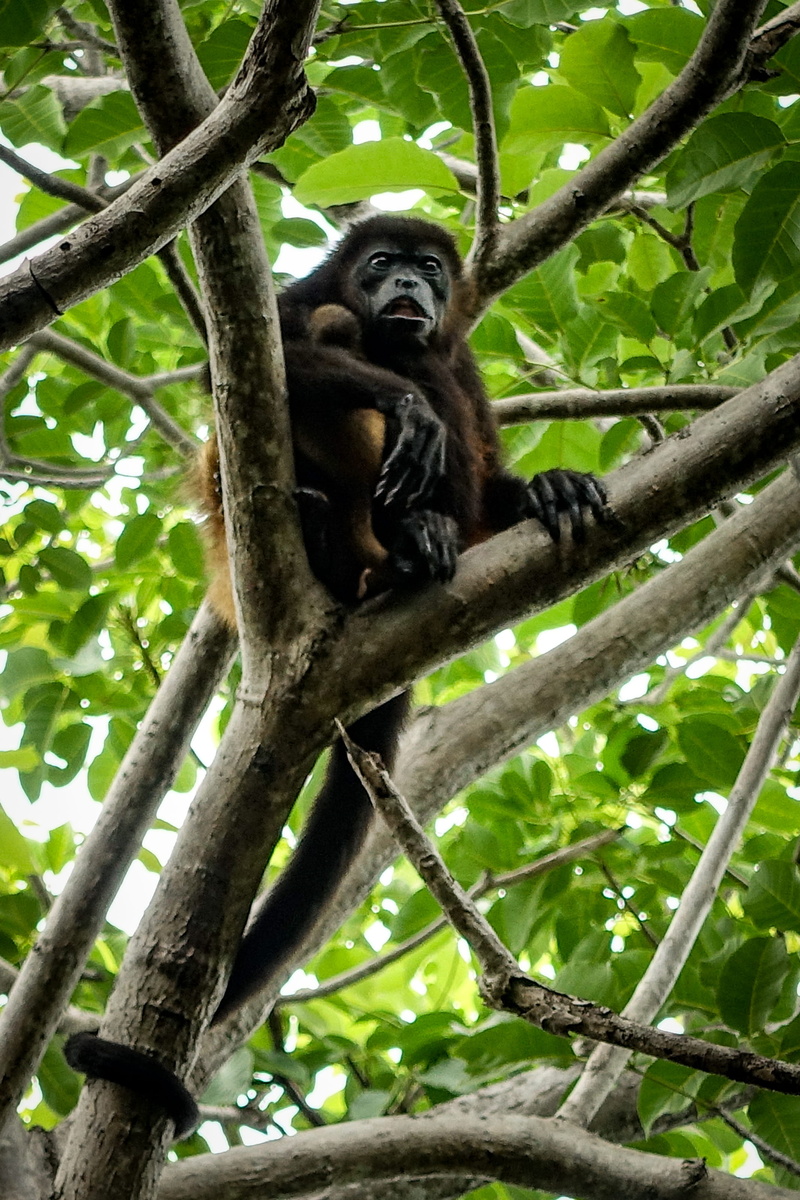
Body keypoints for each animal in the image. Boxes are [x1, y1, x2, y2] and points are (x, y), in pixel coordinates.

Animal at [65, 215, 608, 1139]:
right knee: (331, 341)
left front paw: (546, 487)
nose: (409, 287)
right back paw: (350, 539)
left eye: (430, 268)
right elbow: (261, 353)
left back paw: (417, 541)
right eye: (381, 263)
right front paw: (407, 408)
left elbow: (475, 434)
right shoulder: (295, 295)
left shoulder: (464, 358)